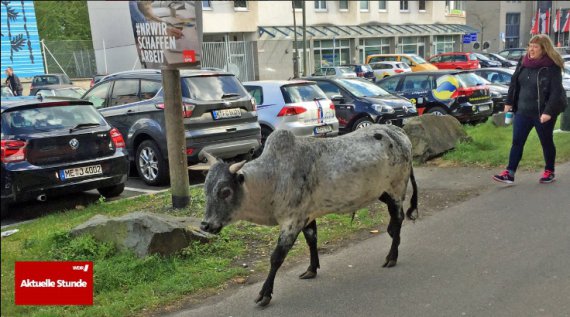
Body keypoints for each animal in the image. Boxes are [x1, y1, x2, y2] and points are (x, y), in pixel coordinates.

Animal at [200, 125, 418, 306]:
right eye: (206, 189)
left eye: (225, 191)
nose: (205, 225)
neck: (272, 178)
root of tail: (398, 132)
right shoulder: (306, 216)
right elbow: (312, 240)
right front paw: (311, 269)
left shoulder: (291, 222)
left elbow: (276, 258)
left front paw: (264, 294)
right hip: (383, 193)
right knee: (394, 220)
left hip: (396, 189)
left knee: (399, 218)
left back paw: (392, 257)